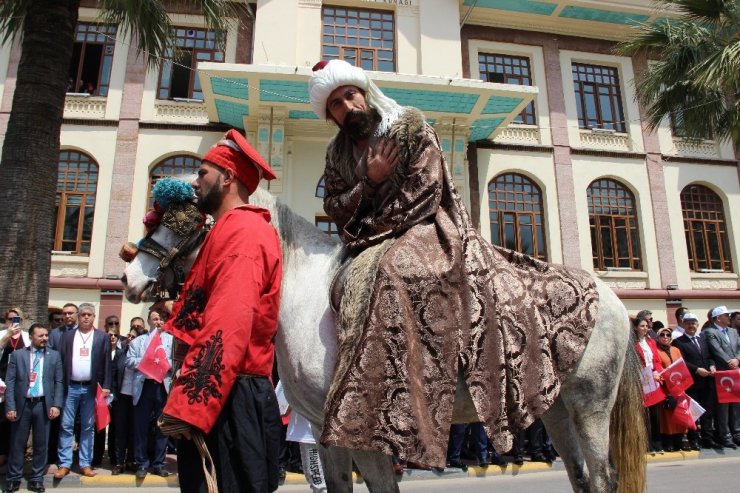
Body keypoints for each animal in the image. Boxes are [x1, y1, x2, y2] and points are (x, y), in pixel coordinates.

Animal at [120, 188, 640, 492]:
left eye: (181, 220)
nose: (129, 274)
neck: (305, 293)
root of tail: (615, 302)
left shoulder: (362, 432)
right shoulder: (322, 433)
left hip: (591, 405)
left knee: (602, 477)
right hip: (555, 408)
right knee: (582, 477)